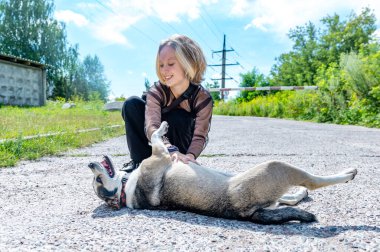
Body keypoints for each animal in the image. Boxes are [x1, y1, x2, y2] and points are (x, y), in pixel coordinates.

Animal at [87, 121, 358, 223]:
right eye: (98, 181)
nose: (90, 165)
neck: (124, 190)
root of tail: (247, 215)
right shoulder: (160, 154)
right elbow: (155, 136)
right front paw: (162, 127)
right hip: (275, 167)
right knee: (313, 182)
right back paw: (347, 173)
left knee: (290, 197)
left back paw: (300, 194)